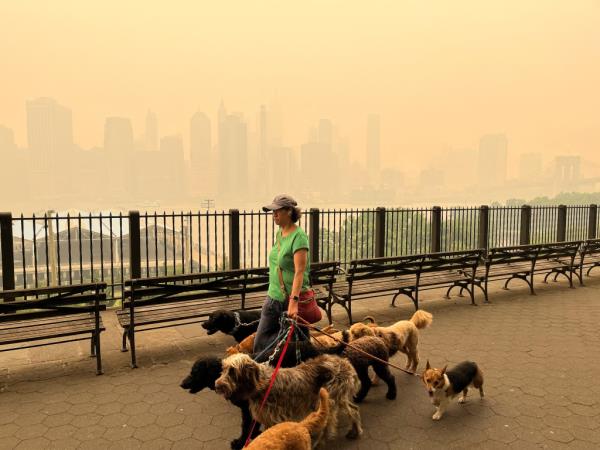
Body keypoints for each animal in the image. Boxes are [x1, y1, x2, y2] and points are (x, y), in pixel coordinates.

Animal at [216, 352, 360, 442]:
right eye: (223, 369)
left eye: (232, 371)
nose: (217, 385)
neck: (262, 384)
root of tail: (344, 361)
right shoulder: (267, 419)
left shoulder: (276, 418)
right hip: (338, 398)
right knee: (354, 410)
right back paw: (355, 431)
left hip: (329, 399)